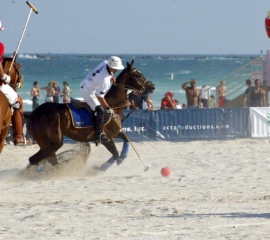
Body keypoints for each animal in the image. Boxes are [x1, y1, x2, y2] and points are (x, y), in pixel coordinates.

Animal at [26, 59, 155, 171]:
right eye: (138, 75)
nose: (152, 86)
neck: (112, 105)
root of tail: (32, 115)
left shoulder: (117, 132)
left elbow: (125, 143)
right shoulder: (107, 139)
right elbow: (115, 154)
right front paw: (97, 170)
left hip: (50, 143)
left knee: (49, 159)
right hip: (53, 143)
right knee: (35, 159)